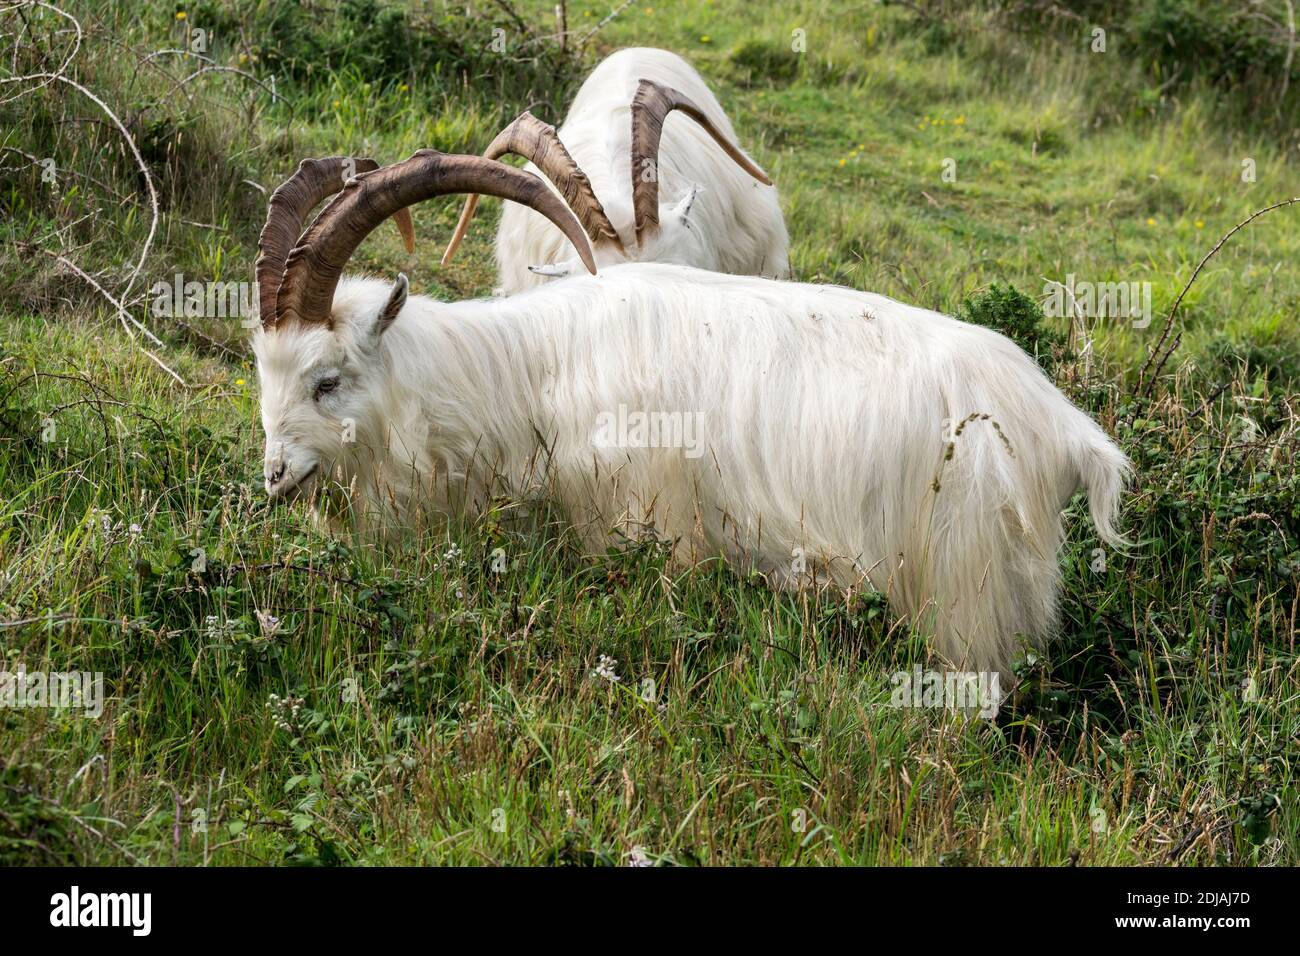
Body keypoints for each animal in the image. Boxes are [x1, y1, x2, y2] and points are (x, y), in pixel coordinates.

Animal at [253, 151, 1130, 680]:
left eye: (327, 380)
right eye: (263, 376)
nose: (275, 479)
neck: (531, 368)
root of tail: (1062, 430)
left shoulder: (653, 529)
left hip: (965, 600)